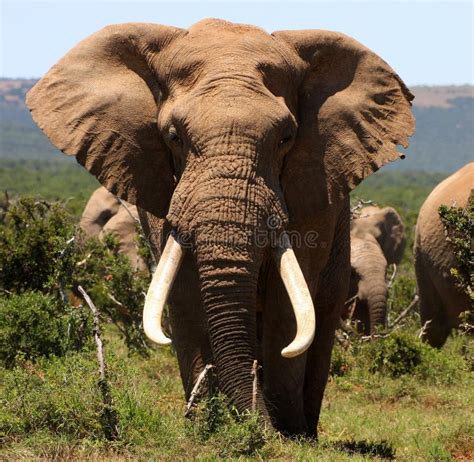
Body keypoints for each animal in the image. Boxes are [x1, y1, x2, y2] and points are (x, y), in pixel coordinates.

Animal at [25, 19, 412, 436]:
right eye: (174, 136)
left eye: (286, 138)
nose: (260, 425)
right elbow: (182, 290)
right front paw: (206, 426)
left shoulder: (315, 184)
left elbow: (289, 303)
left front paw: (283, 434)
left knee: (321, 313)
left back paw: (302, 427)